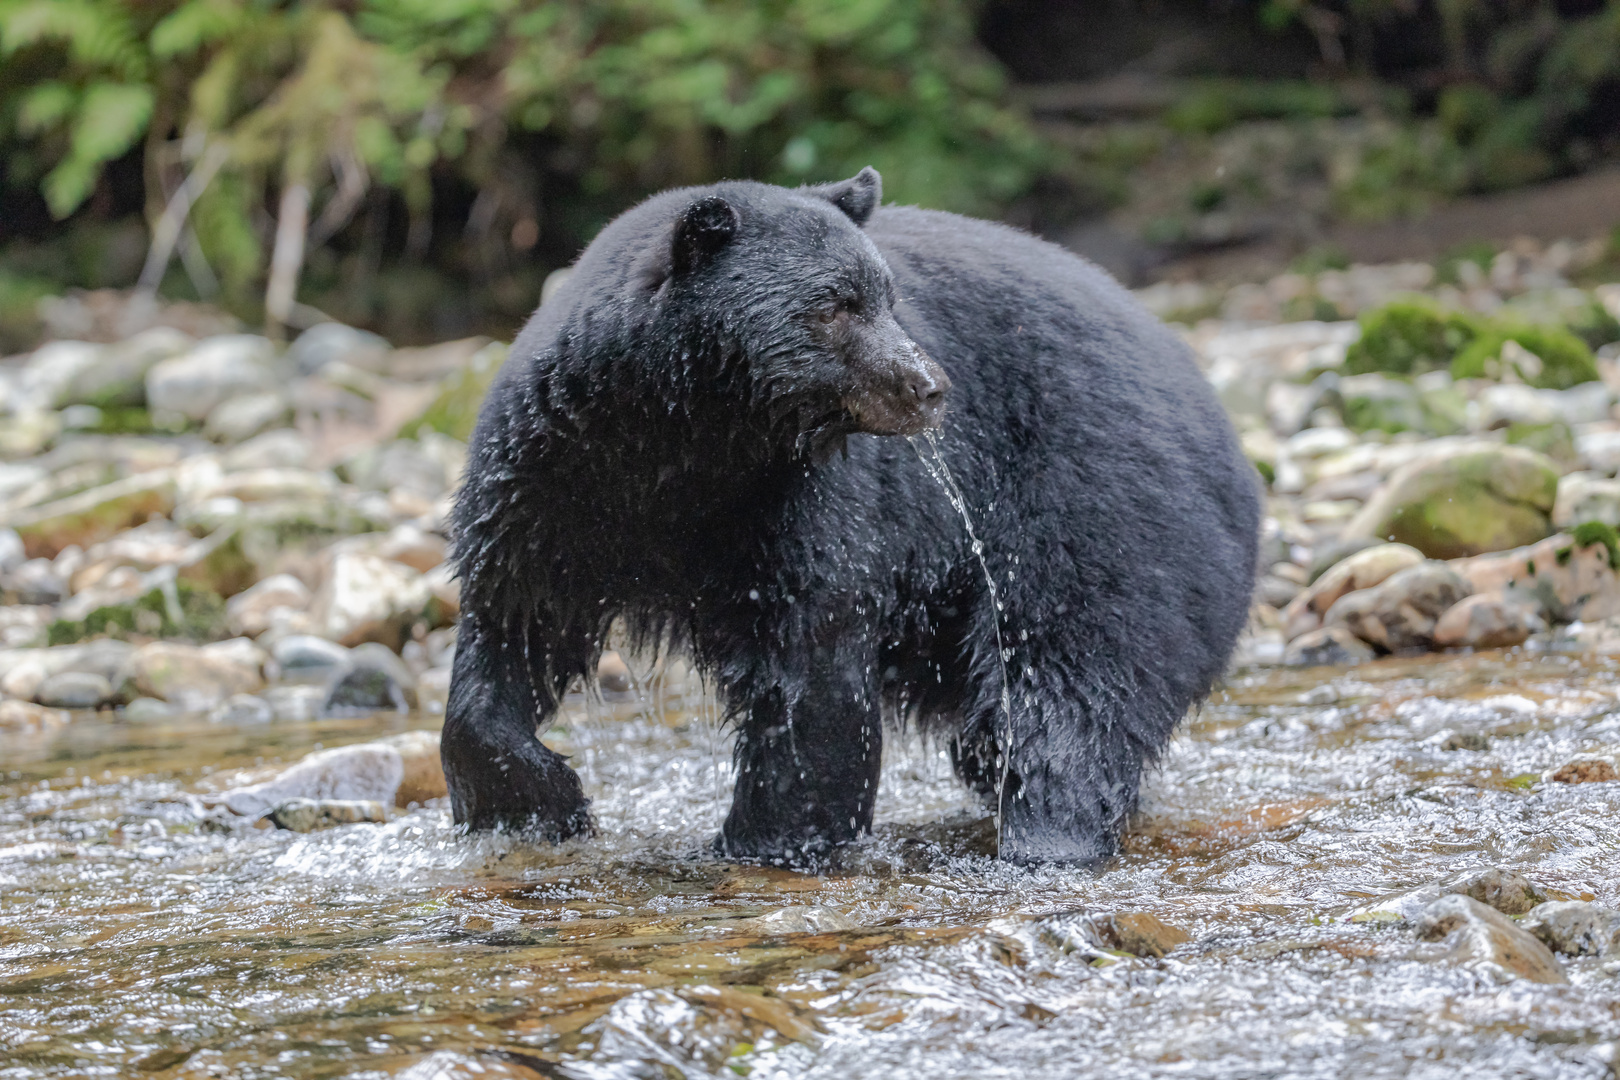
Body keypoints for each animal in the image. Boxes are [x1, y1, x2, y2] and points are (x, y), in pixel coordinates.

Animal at [447, 166, 1263, 861]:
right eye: (837, 305)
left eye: (887, 298)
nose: (931, 385)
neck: (684, 442)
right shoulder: (552, 481)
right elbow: (512, 629)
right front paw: (540, 801)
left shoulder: (797, 501)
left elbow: (810, 658)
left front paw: (772, 838)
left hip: (1100, 501)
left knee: (1070, 668)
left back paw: (1048, 833)